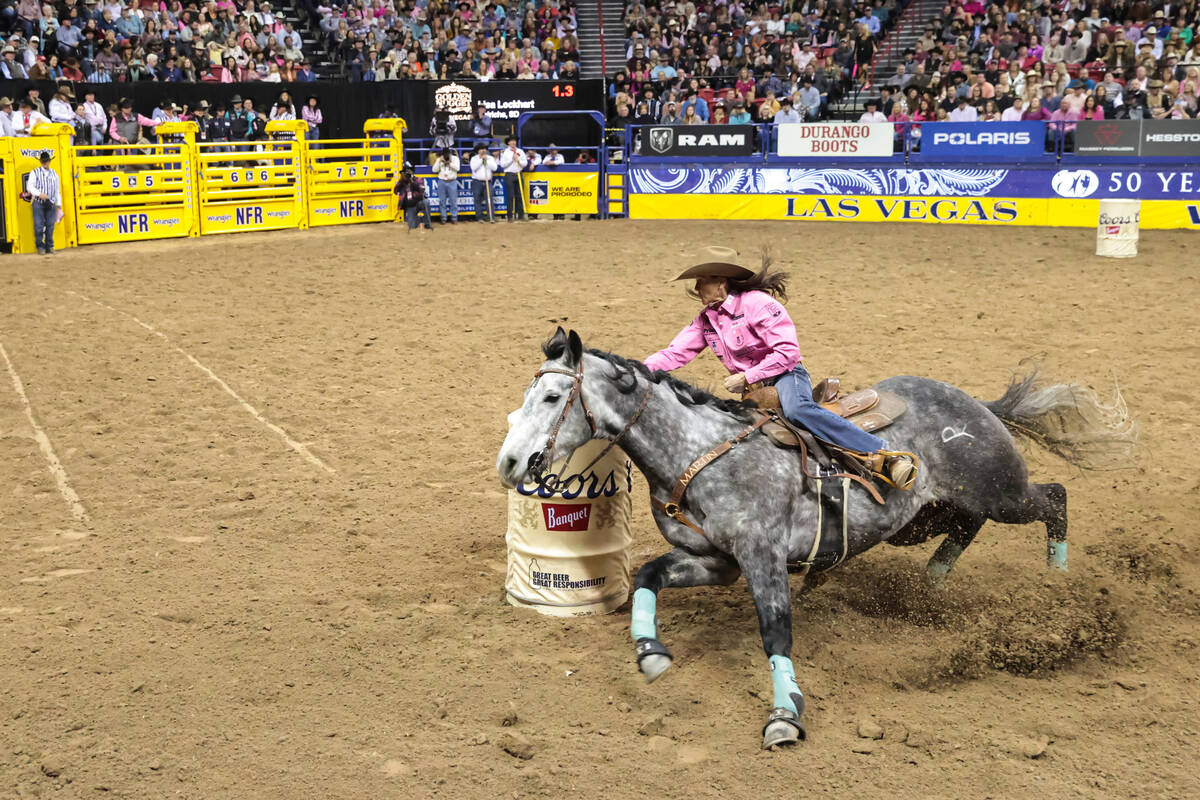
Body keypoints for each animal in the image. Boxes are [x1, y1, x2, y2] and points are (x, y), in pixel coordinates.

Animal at [496, 331, 1132, 753]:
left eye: (551, 399)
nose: (509, 463)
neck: (698, 452)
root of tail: (977, 404)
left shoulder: (762, 558)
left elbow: (775, 632)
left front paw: (785, 716)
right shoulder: (716, 561)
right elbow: (649, 577)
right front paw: (650, 654)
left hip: (1002, 491)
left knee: (1054, 498)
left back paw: (1056, 584)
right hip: (928, 517)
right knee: (965, 528)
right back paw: (933, 583)